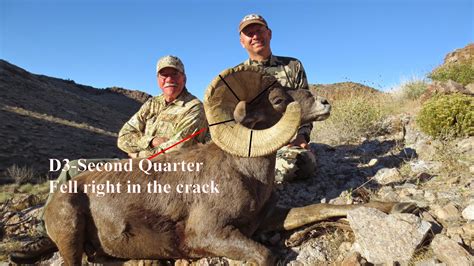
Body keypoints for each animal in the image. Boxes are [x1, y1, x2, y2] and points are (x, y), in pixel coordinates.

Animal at [42, 65, 410, 266]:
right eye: (279, 100)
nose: (325, 103)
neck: (245, 175)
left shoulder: (268, 218)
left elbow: (321, 208)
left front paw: (400, 206)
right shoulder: (211, 233)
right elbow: (265, 255)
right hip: (69, 229)